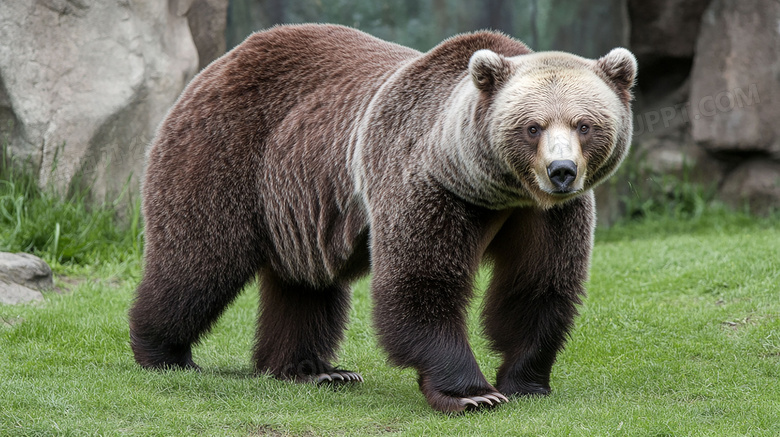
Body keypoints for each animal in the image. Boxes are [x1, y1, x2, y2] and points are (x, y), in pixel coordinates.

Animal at [131, 23, 636, 412]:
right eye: (533, 127)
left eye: (584, 125)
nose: (561, 171)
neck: (494, 190)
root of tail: (221, 61)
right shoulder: (429, 186)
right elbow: (419, 283)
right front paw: (472, 394)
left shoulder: (545, 216)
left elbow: (536, 286)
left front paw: (526, 382)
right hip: (225, 154)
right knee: (198, 260)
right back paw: (163, 351)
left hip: (297, 205)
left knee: (305, 285)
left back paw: (311, 370)